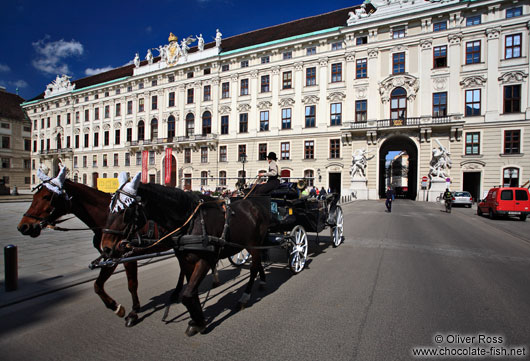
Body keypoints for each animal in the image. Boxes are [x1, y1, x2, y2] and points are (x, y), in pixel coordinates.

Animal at [100, 173, 268, 336]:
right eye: (109, 208)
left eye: (125, 211)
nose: (105, 248)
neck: (190, 223)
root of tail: (254, 205)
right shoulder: (185, 261)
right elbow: (191, 293)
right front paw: (196, 320)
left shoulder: (204, 261)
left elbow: (187, 295)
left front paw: (199, 323)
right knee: (259, 263)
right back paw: (262, 281)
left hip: (253, 245)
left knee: (254, 267)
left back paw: (244, 297)